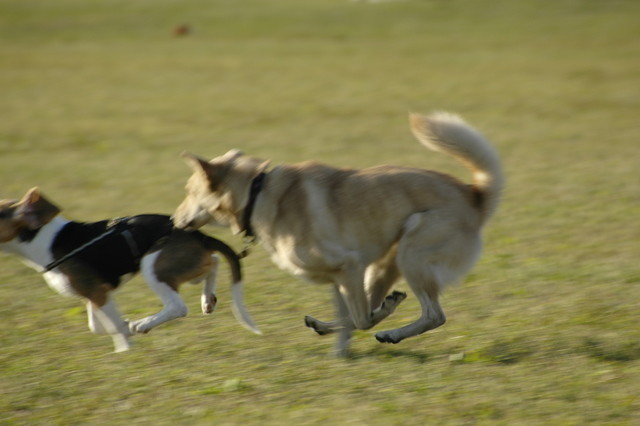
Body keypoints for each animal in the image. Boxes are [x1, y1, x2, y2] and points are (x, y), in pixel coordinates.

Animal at [0, 188, 260, 352]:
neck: (42, 238)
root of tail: (200, 235)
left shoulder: (97, 293)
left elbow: (111, 326)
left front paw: (125, 347)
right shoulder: (93, 295)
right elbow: (97, 326)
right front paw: (124, 329)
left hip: (152, 265)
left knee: (177, 306)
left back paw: (143, 324)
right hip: (186, 264)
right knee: (213, 262)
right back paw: (207, 299)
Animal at [172, 113, 502, 356]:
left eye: (188, 191)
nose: (173, 221)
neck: (256, 193)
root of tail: (475, 195)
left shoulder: (350, 266)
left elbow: (361, 318)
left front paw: (374, 322)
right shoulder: (338, 278)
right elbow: (349, 318)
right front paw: (341, 350)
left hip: (412, 255)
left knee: (433, 315)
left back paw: (391, 332)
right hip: (386, 264)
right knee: (386, 309)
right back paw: (334, 323)